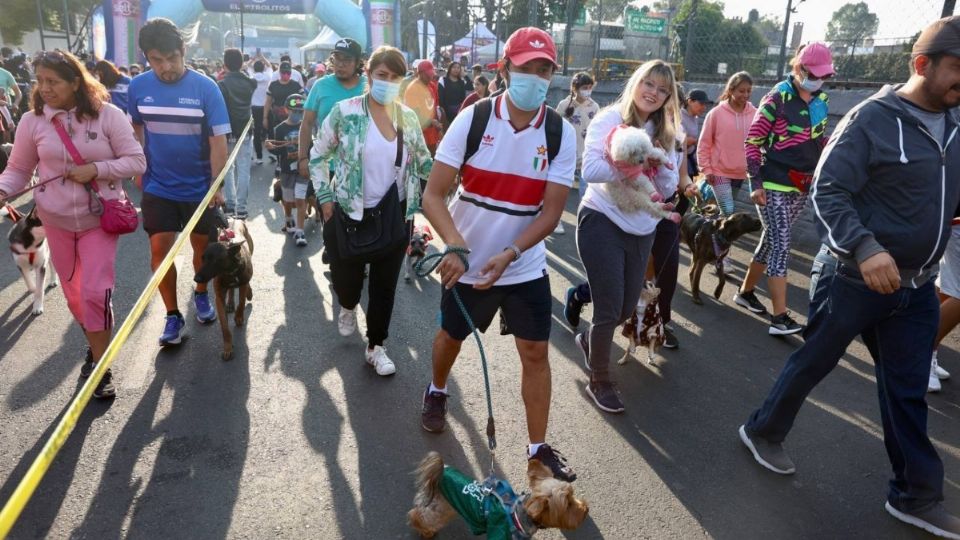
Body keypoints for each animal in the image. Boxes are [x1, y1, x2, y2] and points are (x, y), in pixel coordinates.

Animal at [193, 217, 253, 360]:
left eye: (215, 261)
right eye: (203, 258)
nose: (196, 279)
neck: (230, 271)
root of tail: (234, 218)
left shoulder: (242, 283)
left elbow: (241, 302)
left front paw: (239, 317)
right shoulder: (219, 297)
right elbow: (224, 327)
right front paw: (227, 348)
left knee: (245, 286)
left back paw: (248, 294)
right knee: (231, 290)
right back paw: (230, 303)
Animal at [408, 454, 588, 536]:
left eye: (573, 495)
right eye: (568, 505)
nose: (586, 509)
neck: (519, 515)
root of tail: (440, 472)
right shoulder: (500, 532)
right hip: (440, 508)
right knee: (419, 515)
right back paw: (425, 531)